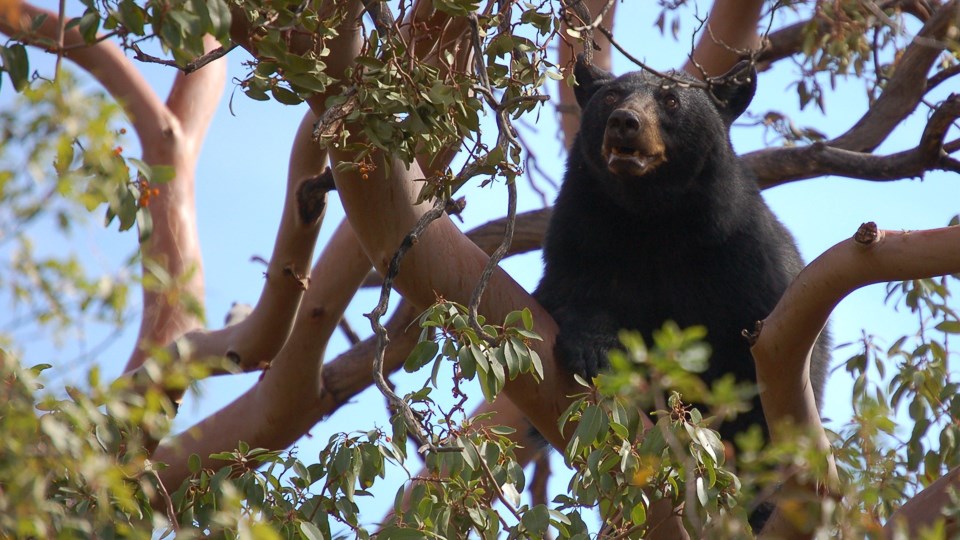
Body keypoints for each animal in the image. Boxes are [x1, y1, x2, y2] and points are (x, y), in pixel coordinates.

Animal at [536, 58, 828, 452]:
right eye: (611, 95)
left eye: (671, 100)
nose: (624, 121)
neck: (654, 219)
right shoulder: (580, 234)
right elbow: (566, 292)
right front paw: (592, 348)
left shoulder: (746, 252)